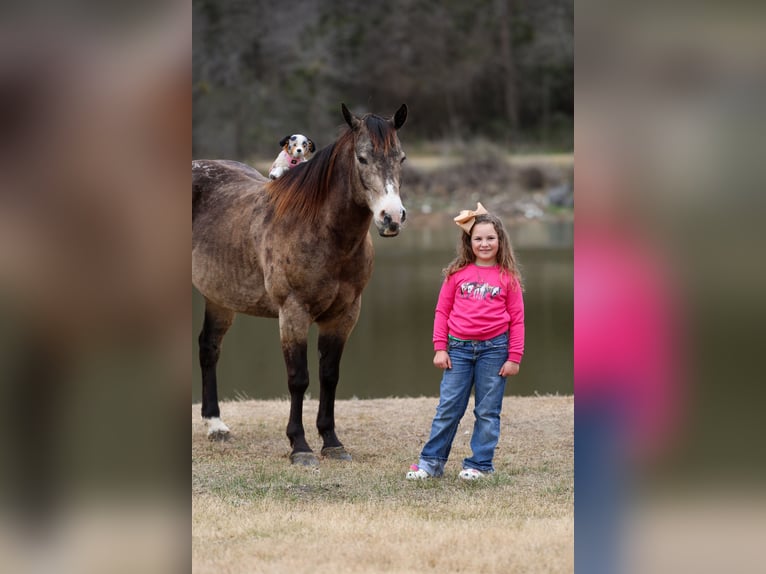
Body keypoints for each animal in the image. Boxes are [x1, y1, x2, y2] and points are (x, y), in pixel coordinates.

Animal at [192, 103, 408, 465]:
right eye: (362, 158)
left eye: (401, 158)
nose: (391, 217)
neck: (320, 230)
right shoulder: (293, 313)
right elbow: (298, 379)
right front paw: (300, 446)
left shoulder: (344, 315)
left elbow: (329, 375)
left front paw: (332, 441)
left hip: (219, 297)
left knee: (209, 348)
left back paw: (215, 425)